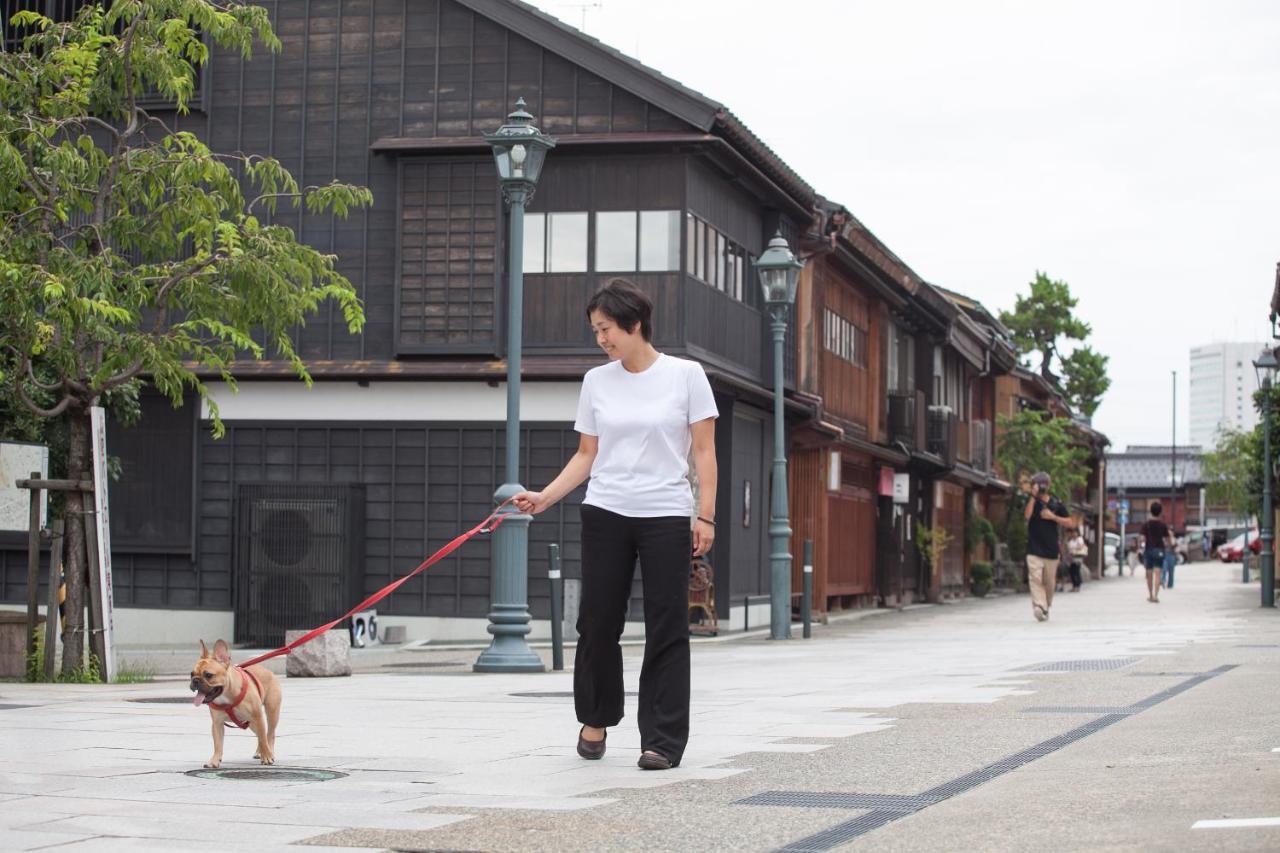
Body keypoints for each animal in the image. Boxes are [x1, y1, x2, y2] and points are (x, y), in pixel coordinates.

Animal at [188, 635, 281, 768]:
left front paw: (267, 757)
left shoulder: (258, 717)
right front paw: (214, 760)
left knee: (269, 734)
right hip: (251, 722)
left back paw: (269, 752)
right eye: (191, 674)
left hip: (271, 712)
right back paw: (259, 752)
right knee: (260, 735)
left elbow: (264, 738)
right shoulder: (217, 723)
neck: (226, 696)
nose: (195, 680)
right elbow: (218, 744)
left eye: (208, 675)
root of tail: (267, 671)